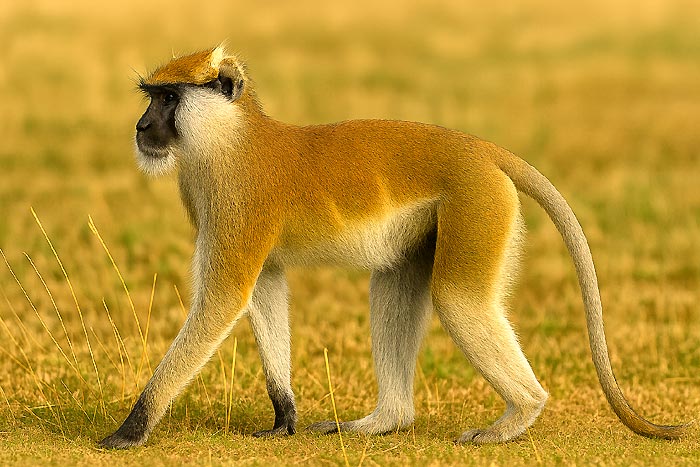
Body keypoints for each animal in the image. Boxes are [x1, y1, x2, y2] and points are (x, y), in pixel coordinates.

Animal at [99, 45, 689, 449]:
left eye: (169, 98)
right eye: (151, 96)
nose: (141, 126)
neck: (231, 136)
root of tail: (482, 150)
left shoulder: (238, 200)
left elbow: (223, 300)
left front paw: (130, 430)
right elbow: (263, 287)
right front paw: (284, 416)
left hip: (478, 204)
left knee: (459, 299)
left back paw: (518, 416)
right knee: (394, 282)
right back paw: (388, 420)